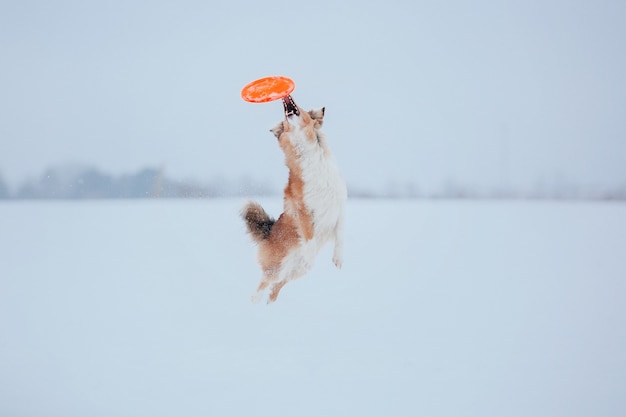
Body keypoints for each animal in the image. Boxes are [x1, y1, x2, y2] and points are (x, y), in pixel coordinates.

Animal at [240, 94, 346, 302]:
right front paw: (311, 253)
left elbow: (340, 234)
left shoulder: (339, 205)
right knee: (261, 287)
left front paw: (338, 259)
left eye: (302, 108)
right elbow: (310, 237)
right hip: (275, 269)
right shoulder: (303, 211)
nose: (287, 96)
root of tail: (268, 232)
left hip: (295, 272)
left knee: (274, 290)